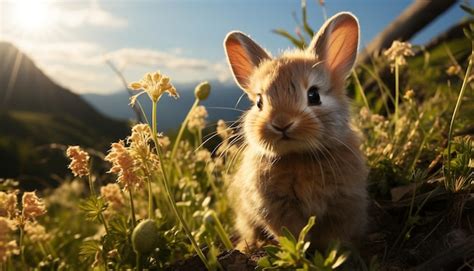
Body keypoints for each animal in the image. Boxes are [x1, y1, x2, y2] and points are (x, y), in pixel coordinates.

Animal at [224, 11, 368, 252]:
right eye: (259, 102)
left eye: (314, 95)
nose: (281, 123)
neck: (298, 156)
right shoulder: (276, 208)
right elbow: (292, 233)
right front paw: (298, 251)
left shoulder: (343, 204)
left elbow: (335, 237)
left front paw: (337, 253)